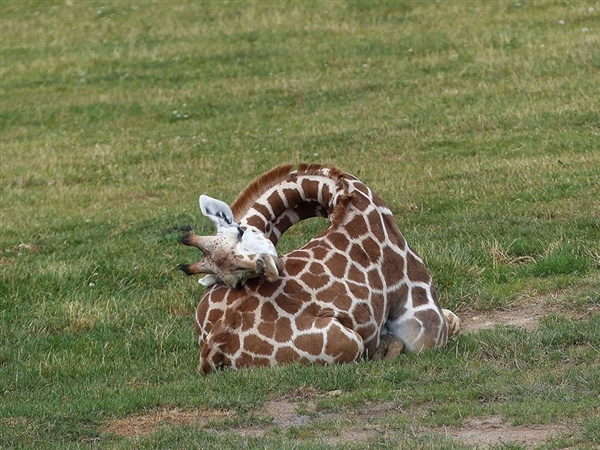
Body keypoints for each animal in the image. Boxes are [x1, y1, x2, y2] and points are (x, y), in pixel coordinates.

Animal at [178, 163, 460, 374]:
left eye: (240, 232)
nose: (269, 268)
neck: (345, 198)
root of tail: (214, 346)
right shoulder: (425, 329)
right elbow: (451, 321)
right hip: (350, 341)